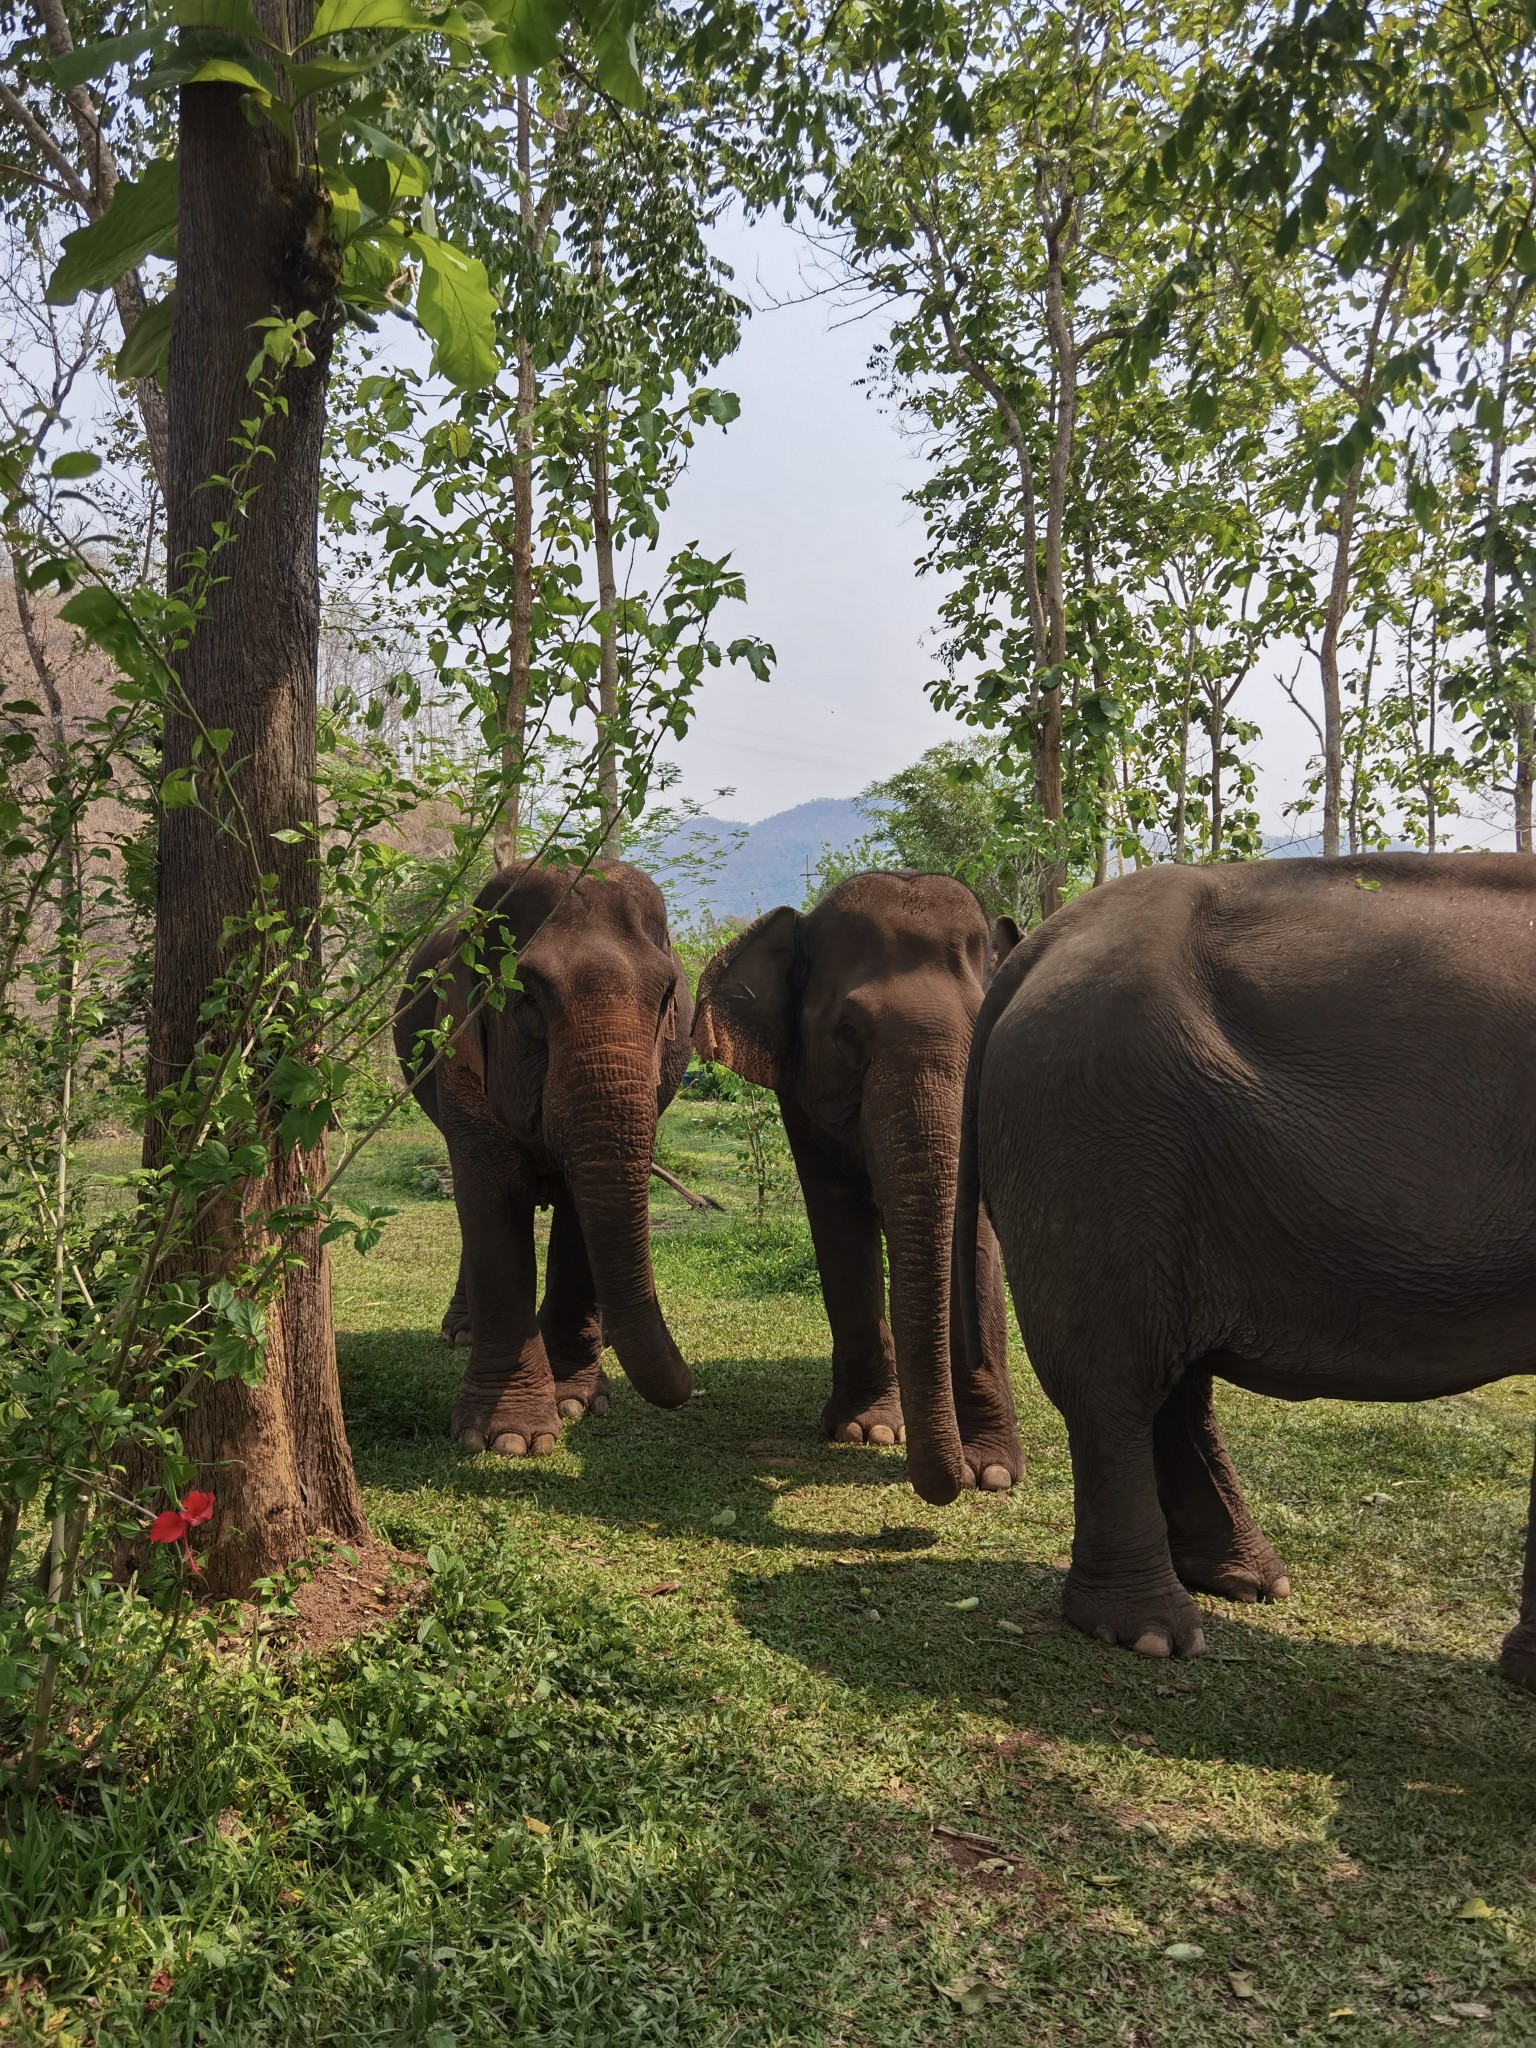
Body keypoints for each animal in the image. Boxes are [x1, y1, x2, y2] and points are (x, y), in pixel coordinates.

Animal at [393, 856, 696, 1449]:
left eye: (667, 998)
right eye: (528, 999)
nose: (693, 1387)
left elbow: (582, 1213)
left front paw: (575, 1400)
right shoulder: (457, 1055)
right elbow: (490, 1200)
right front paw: (508, 1438)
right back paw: (461, 1332)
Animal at [700, 868, 1036, 1507]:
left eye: (984, 1027)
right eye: (847, 1032)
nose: (957, 1477)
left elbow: (977, 1235)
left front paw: (993, 1471)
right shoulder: (800, 1093)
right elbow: (837, 1219)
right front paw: (867, 1431)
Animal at [958, 851, 1536, 1695]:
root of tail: (1046, 938)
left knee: (1174, 1380)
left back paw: (1248, 1583)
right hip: (1095, 1130)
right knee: (1115, 1381)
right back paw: (1154, 1635)